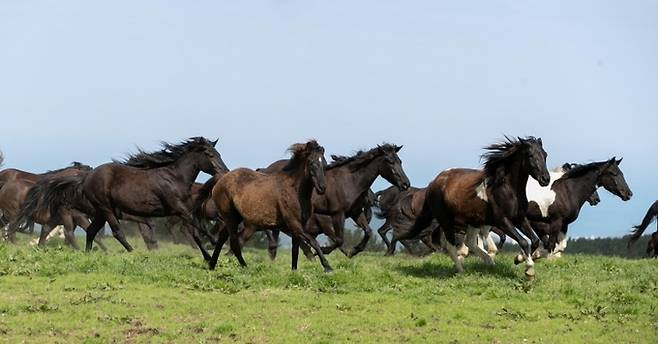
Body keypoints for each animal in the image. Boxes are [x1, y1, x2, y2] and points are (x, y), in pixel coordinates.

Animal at [209, 140, 330, 272]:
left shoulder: (298, 227)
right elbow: (314, 242)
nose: (322, 188)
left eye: (324, 163)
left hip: (234, 218)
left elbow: (295, 250)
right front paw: (328, 267)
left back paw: (211, 265)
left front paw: (294, 271)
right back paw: (245, 267)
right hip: (231, 218)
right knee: (234, 243)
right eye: (311, 163)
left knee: (222, 239)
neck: (294, 191)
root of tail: (219, 183)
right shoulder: (294, 224)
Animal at [390, 136, 548, 276]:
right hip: (447, 221)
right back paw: (461, 270)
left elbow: (534, 241)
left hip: (473, 221)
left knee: (470, 243)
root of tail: (432, 184)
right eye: (530, 155)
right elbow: (524, 241)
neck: (506, 188)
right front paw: (529, 270)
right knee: (451, 246)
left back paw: (490, 263)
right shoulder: (502, 221)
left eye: (545, 155)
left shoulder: (519, 218)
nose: (545, 179)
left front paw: (519, 259)